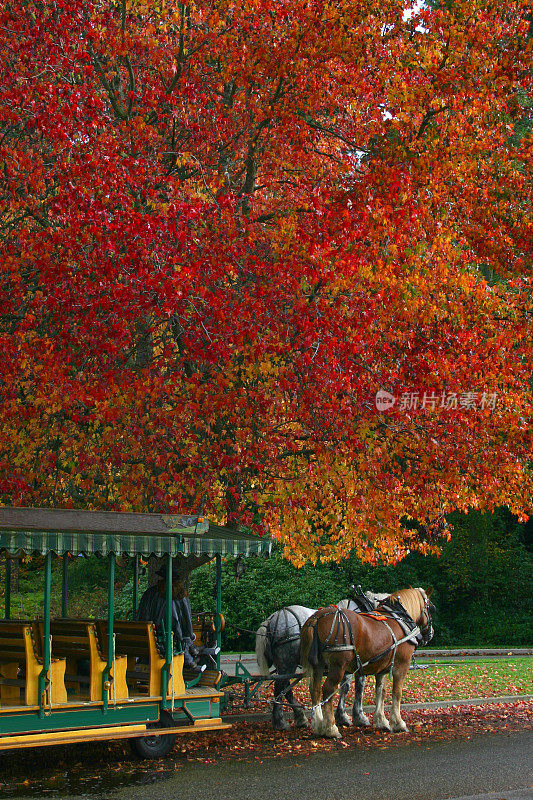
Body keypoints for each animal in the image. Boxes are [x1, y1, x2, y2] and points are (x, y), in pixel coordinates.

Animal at [254, 592, 386, 728]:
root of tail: (272, 619)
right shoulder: (359, 662)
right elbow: (357, 686)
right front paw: (359, 717)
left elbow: (345, 687)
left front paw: (342, 716)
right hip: (287, 664)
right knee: (280, 688)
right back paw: (281, 722)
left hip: (283, 665)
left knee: (286, 689)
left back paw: (300, 718)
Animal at [300, 588, 432, 736]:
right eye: (431, 607)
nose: (430, 634)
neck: (400, 620)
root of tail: (316, 618)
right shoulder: (401, 665)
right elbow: (397, 692)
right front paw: (398, 723)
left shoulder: (382, 668)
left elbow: (381, 691)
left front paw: (381, 721)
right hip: (338, 666)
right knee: (328, 689)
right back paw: (331, 728)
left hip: (318, 665)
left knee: (315, 689)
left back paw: (318, 725)